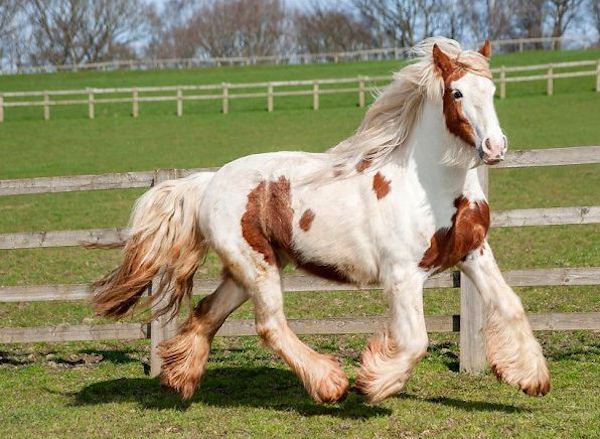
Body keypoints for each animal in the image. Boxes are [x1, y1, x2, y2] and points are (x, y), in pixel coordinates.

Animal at [91, 38, 552, 406]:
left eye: (491, 89)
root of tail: (207, 183)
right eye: (456, 92)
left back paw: (179, 379)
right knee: (270, 325)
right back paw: (330, 383)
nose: (494, 147)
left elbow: (511, 304)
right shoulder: (403, 274)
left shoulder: (473, 254)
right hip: (257, 265)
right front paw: (372, 384)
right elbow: (414, 340)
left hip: (248, 268)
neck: (431, 188)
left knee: (208, 312)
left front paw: (531, 377)